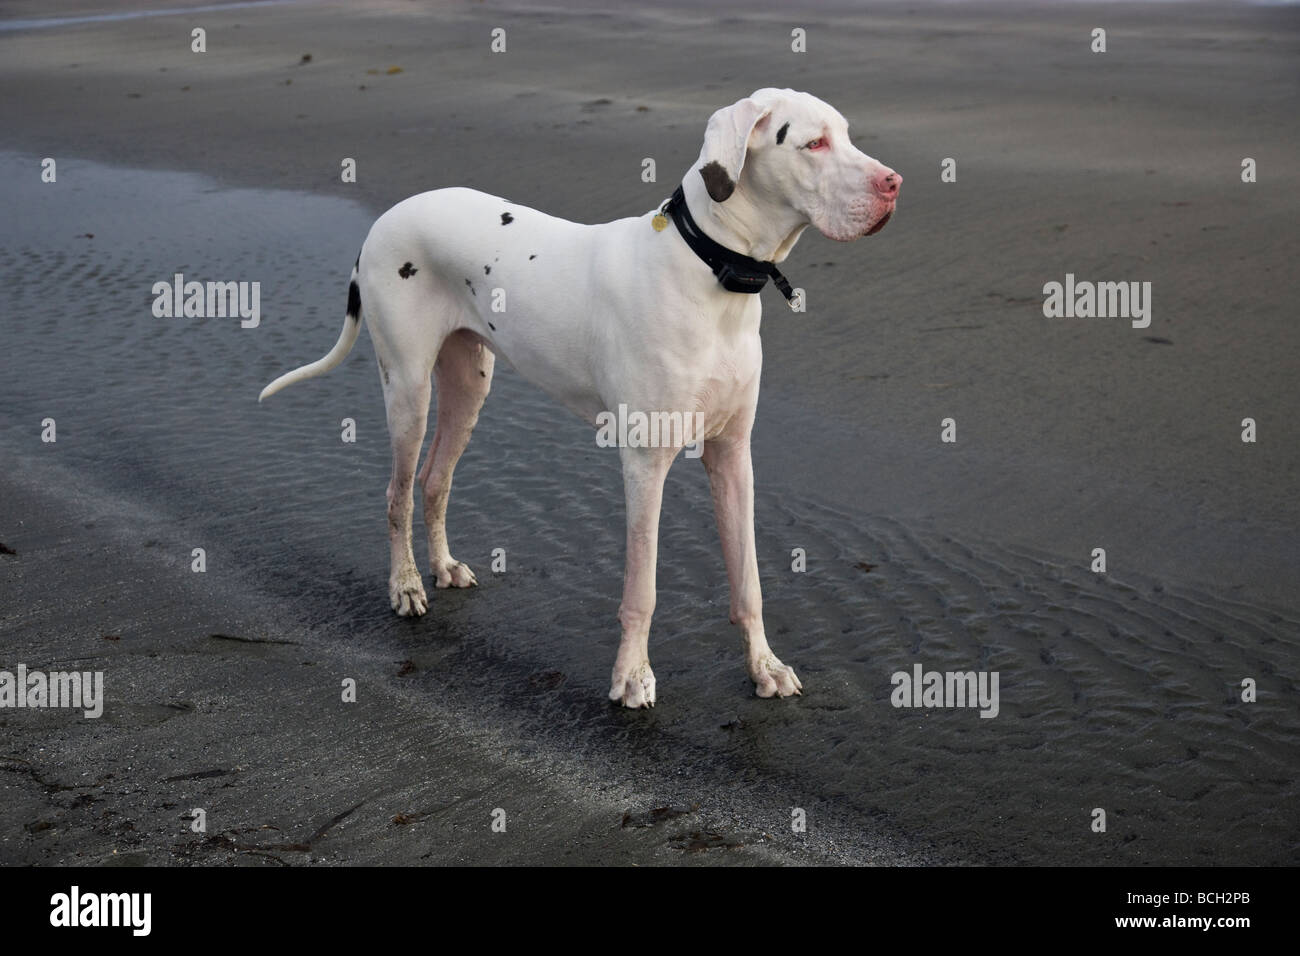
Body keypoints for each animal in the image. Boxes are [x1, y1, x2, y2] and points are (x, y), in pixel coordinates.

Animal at [258, 85, 899, 707]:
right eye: (814, 144)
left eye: (847, 135)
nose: (893, 183)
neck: (709, 273)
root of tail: (385, 218)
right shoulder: (644, 463)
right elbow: (643, 588)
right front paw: (632, 676)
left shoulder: (733, 456)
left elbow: (749, 583)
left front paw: (764, 667)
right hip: (408, 390)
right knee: (396, 494)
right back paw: (407, 586)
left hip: (469, 384)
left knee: (434, 480)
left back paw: (440, 567)